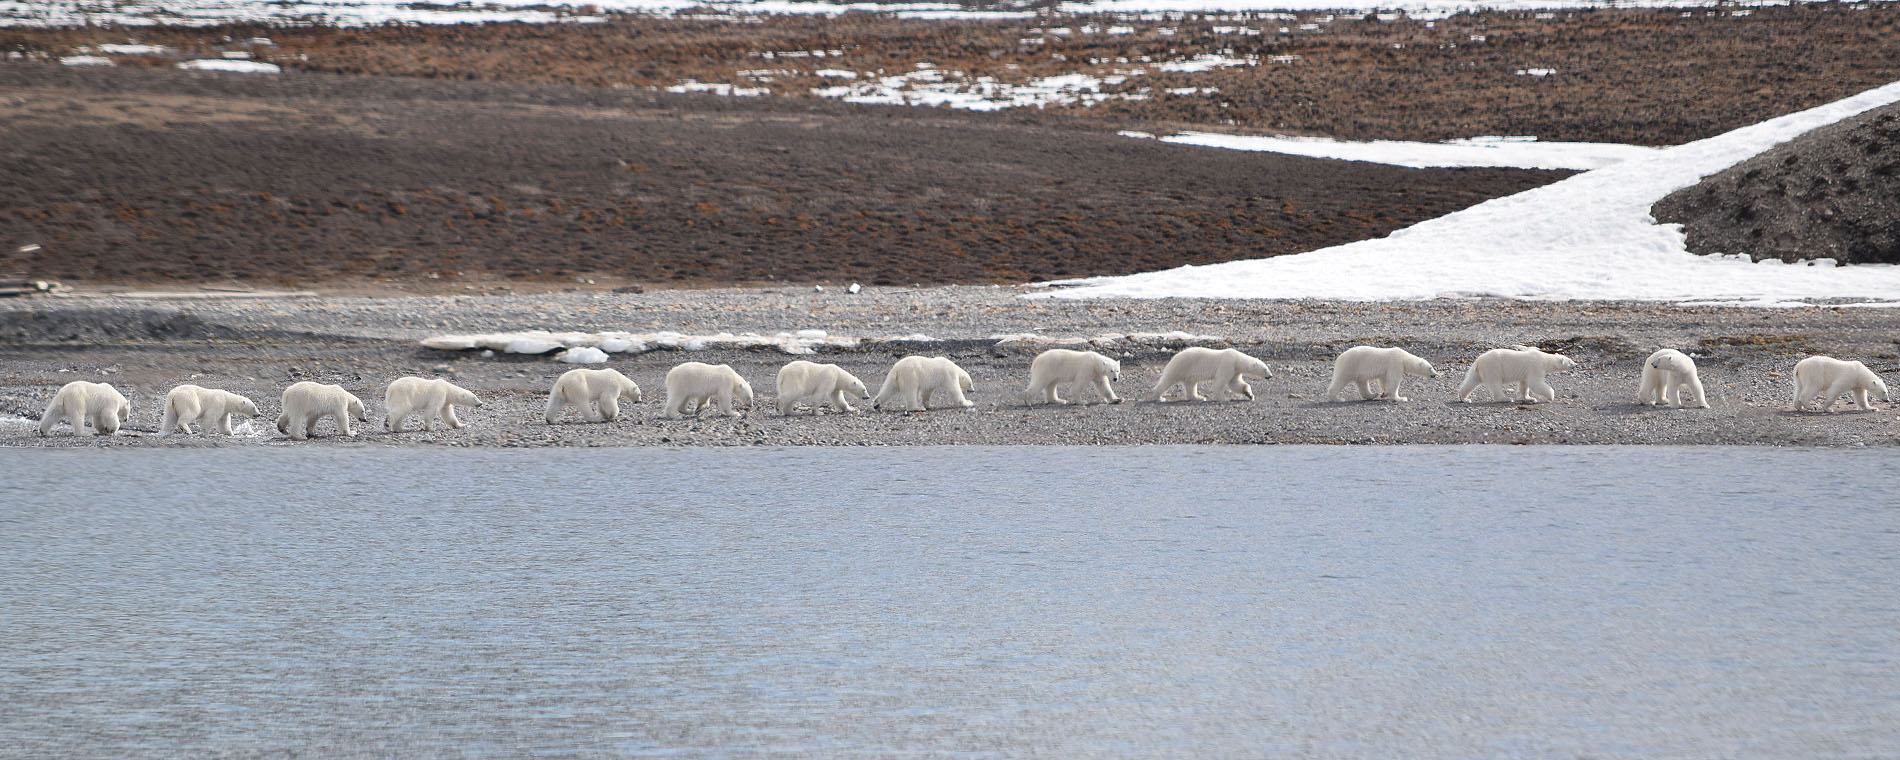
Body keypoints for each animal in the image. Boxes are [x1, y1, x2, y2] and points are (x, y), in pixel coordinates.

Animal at [1140, 345, 1276, 402]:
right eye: (1265, 369)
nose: (1270, 376)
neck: (1237, 359)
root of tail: (1174, 357)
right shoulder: (1227, 364)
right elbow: (1221, 382)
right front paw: (1224, 399)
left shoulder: (1235, 370)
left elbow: (1236, 384)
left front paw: (1249, 394)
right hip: (1181, 366)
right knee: (1168, 380)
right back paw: (1159, 397)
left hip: (1188, 372)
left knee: (1190, 384)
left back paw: (1198, 397)